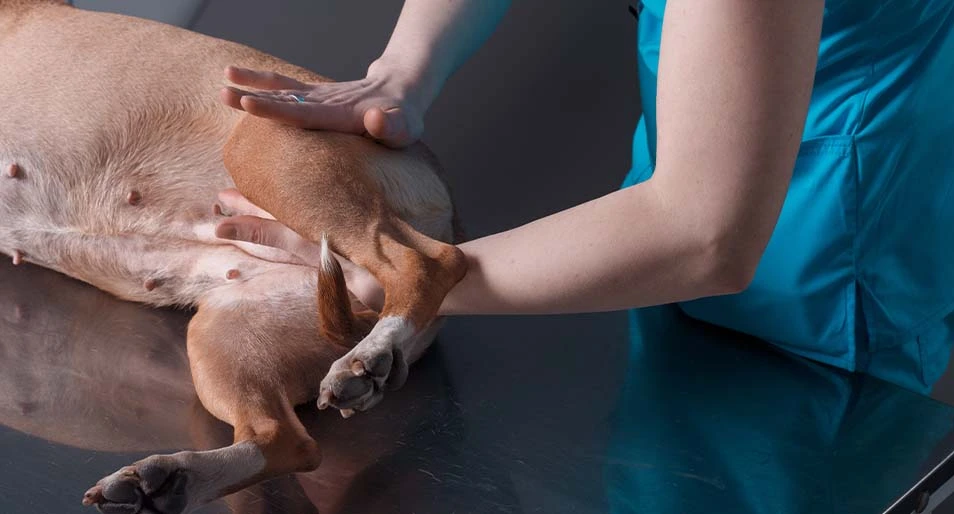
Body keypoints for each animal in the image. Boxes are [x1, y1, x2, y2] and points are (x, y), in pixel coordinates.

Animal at [0, 2, 464, 510]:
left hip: (266, 153)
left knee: (429, 262)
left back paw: (373, 352)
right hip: (232, 333)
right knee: (283, 440)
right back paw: (164, 480)